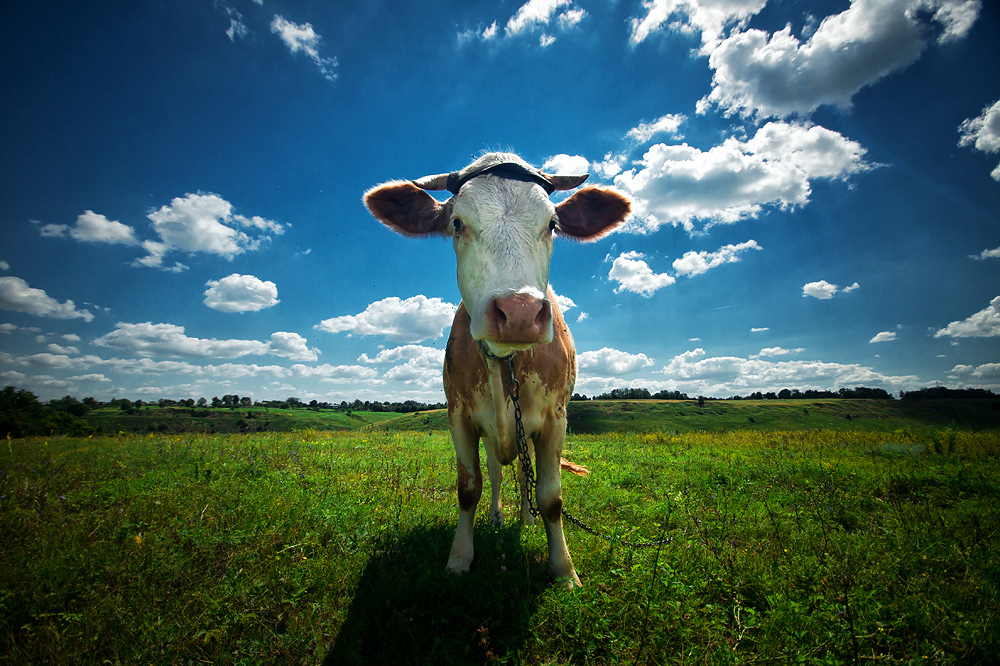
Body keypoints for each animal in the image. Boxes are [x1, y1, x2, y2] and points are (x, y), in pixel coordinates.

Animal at [364, 152, 628, 588]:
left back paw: (524, 520)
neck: (505, 363)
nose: (519, 312)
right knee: (498, 473)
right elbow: (469, 488)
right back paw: (497, 517)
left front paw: (564, 570)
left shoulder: (555, 418)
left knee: (522, 474)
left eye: (552, 224)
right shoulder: (459, 416)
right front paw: (459, 558)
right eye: (457, 223)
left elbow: (550, 498)